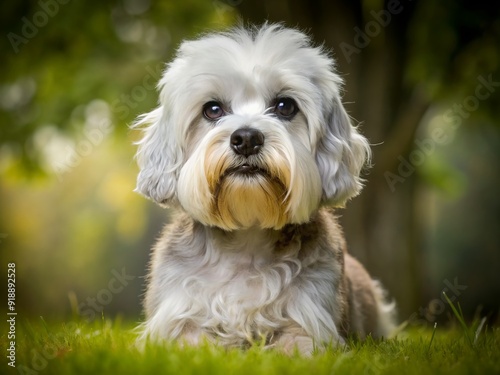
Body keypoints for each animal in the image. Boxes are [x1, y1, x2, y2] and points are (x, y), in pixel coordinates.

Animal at [133, 22, 394, 356]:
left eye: (285, 106)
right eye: (212, 109)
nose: (246, 138)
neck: (247, 238)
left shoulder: (309, 321)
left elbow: (296, 348)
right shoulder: (176, 321)